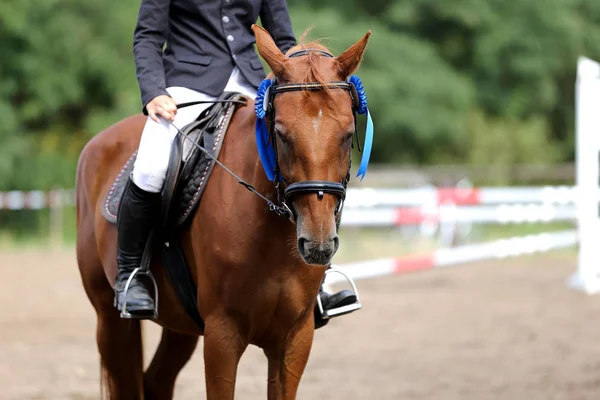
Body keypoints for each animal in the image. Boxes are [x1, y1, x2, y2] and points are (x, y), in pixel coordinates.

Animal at [75, 23, 370, 398]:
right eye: (280, 133)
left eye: (347, 135)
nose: (318, 244)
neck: (270, 236)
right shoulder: (222, 335)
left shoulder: (295, 338)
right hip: (110, 319)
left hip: (180, 326)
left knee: (156, 381)